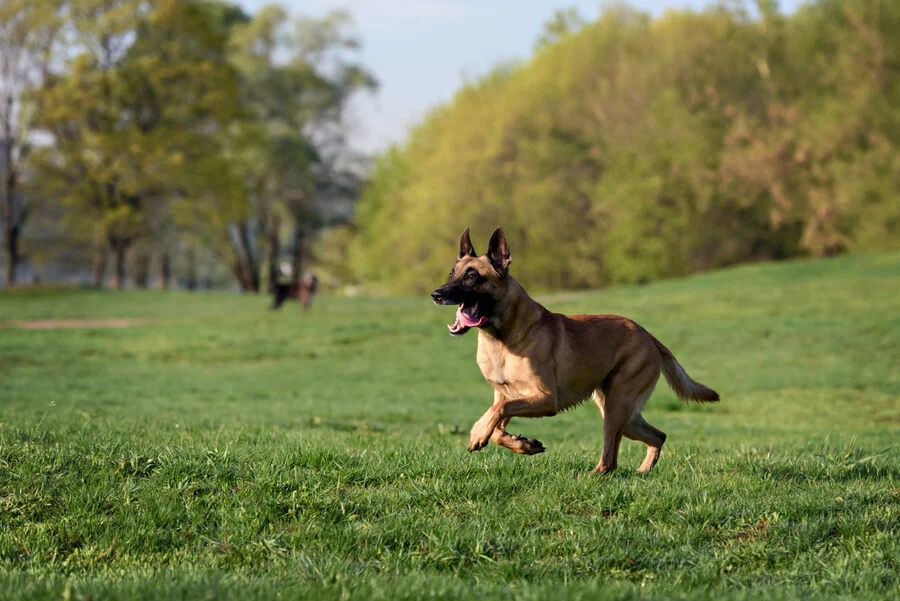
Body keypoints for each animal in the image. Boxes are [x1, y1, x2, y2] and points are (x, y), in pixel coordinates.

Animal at [432, 227, 720, 476]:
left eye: (472, 276)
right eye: (452, 273)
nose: (436, 294)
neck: (502, 337)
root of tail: (649, 336)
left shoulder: (545, 399)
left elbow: (498, 411)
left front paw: (477, 433)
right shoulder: (506, 394)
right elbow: (498, 424)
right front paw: (522, 444)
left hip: (616, 407)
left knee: (610, 458)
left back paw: (594, 475)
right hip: (623, 413)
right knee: (656, 436)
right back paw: (642, 471)